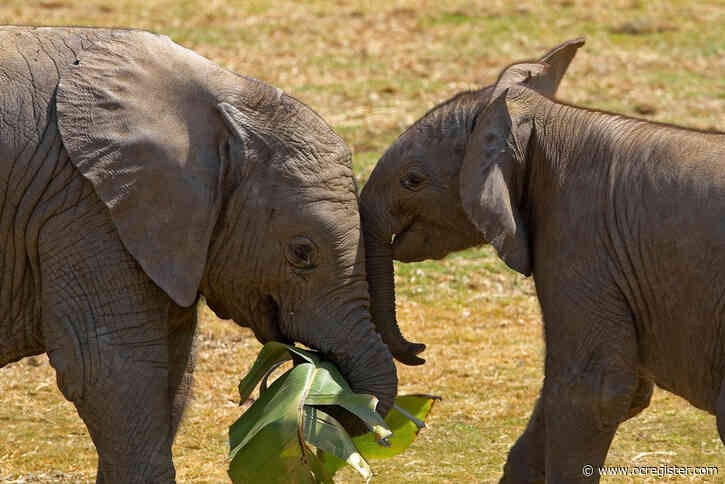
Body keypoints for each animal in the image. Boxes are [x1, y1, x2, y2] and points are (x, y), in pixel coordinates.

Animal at [0, 26, 396, 483]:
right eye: (302, 253)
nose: (329, 396)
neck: (221, 96)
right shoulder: (83, 208)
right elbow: (107, 369)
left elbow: (175, 362)